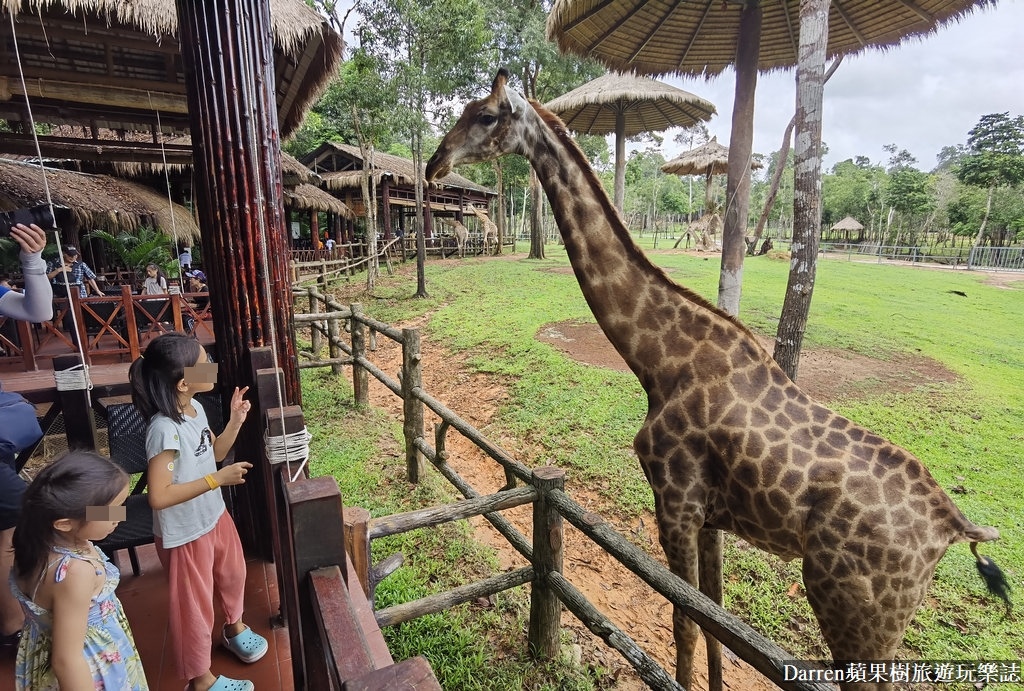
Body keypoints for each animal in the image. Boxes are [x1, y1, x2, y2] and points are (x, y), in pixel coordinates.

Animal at [425, 71, 1007, 691]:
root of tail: (954, 528)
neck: (659, 361)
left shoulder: (675, 501)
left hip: (858, 611)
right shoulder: (711, 516)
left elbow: (684, 623)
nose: (435, 164)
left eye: (486, 115)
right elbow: (715, 626)